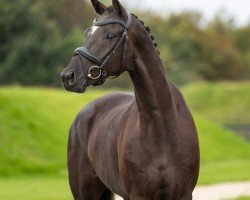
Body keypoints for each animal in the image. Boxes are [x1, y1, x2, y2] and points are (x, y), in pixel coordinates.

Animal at [60, 0, 199, 199]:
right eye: (87, 33)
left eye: (110, 35)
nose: (68, 76)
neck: (162, 126)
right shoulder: (138, 194)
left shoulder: (183, 194)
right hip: (85, 192)